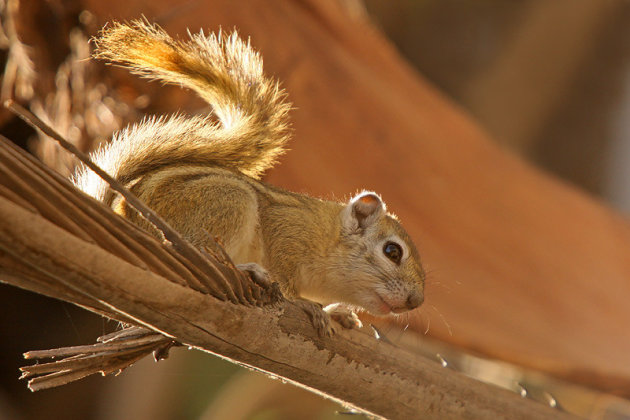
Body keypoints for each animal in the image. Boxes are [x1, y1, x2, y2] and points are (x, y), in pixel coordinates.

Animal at [75, 20, 430, 332]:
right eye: (393, 252)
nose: (416, 301)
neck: (326, 237)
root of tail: (122, 219)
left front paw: (338, 313)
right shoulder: (286, 232)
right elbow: (286, 283)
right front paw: (306, 304)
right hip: (226, 202)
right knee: (194, 252)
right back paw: (245, 269)